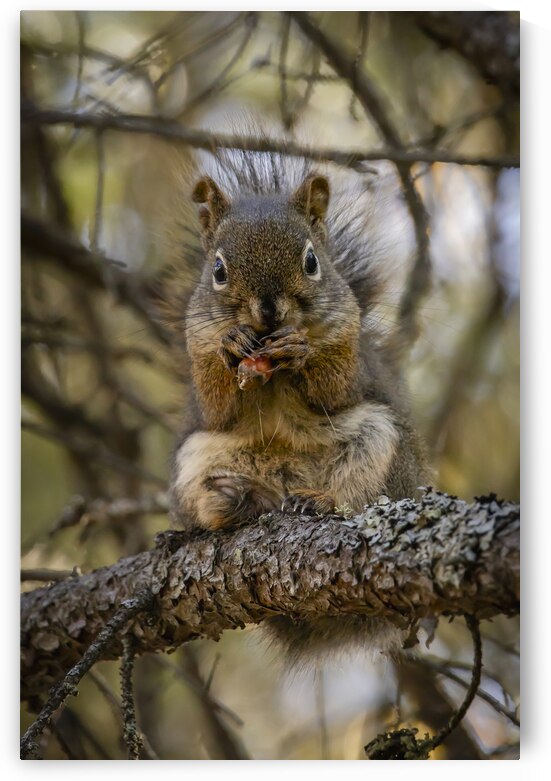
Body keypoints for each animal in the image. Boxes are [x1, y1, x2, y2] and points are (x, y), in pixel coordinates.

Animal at [167, 144, 428, 662]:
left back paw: (316, 501)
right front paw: (233, 343)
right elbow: (217, 404)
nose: (269, 311)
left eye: (311, 261)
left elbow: (335, 388)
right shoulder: (198, 350)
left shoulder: (351, 353)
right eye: (218, 271)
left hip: (381, 445)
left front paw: (301, 350)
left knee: (359, 498)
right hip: (195, 461)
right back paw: (237, 501)